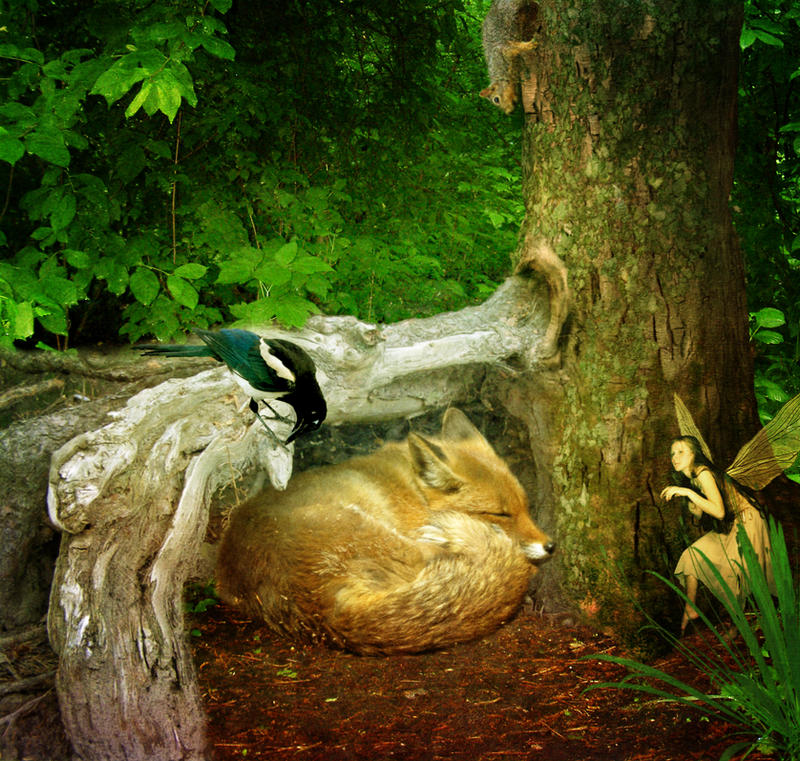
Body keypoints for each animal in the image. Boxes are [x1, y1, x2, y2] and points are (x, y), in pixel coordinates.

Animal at [215, 408, 555, 655]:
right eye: (500, 514)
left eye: (525, 506)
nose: (551, 546)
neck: (412, 488)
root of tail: (321, 611)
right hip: (382, 534)